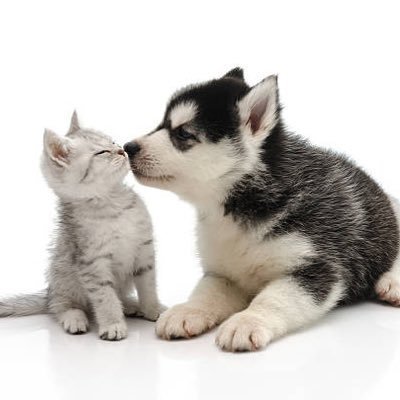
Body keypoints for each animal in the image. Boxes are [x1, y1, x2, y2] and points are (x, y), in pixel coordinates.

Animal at [0, 112, 163, 340]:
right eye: (102, 152)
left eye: (113, 142)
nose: (122, 150)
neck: (114, 204)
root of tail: (49, 293)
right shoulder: (92, 263)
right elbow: (105, 297)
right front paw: (113, 324)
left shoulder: (144, 250)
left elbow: (148, 286)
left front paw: (153, 309)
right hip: (63, 279)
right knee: (62, 307)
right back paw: (75, 319)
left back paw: (131, 305)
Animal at [123, 69, 398, 354]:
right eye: (161, 124)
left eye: (183, 133)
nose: (128, 147)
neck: (239, 205)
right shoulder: (224, 273)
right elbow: (206, 292)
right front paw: (188, 310)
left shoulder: (317, 266)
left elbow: (273, 298)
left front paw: (246, 322)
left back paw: (392, 283)